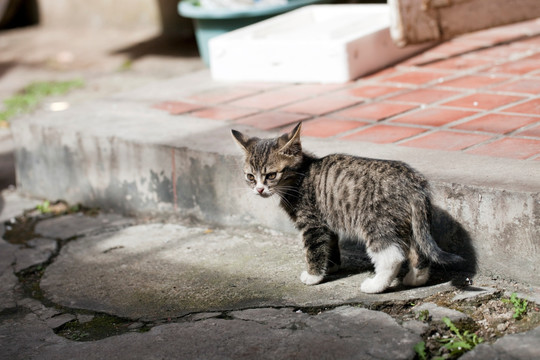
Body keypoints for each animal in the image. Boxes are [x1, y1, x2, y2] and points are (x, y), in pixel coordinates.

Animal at [230, 123, 462, 292]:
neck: (300, 176)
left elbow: (313, 249)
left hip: (375, 221)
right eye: (250, 177)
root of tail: (413, 182)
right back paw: (415, 279)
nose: (259, 189)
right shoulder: (326, 221)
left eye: (271, 175)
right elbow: (330, 243)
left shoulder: (312, 223)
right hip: (406, 222)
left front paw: (313, 276)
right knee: (418, 250)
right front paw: (331, 267)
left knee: (392, 256)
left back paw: (375, 285)